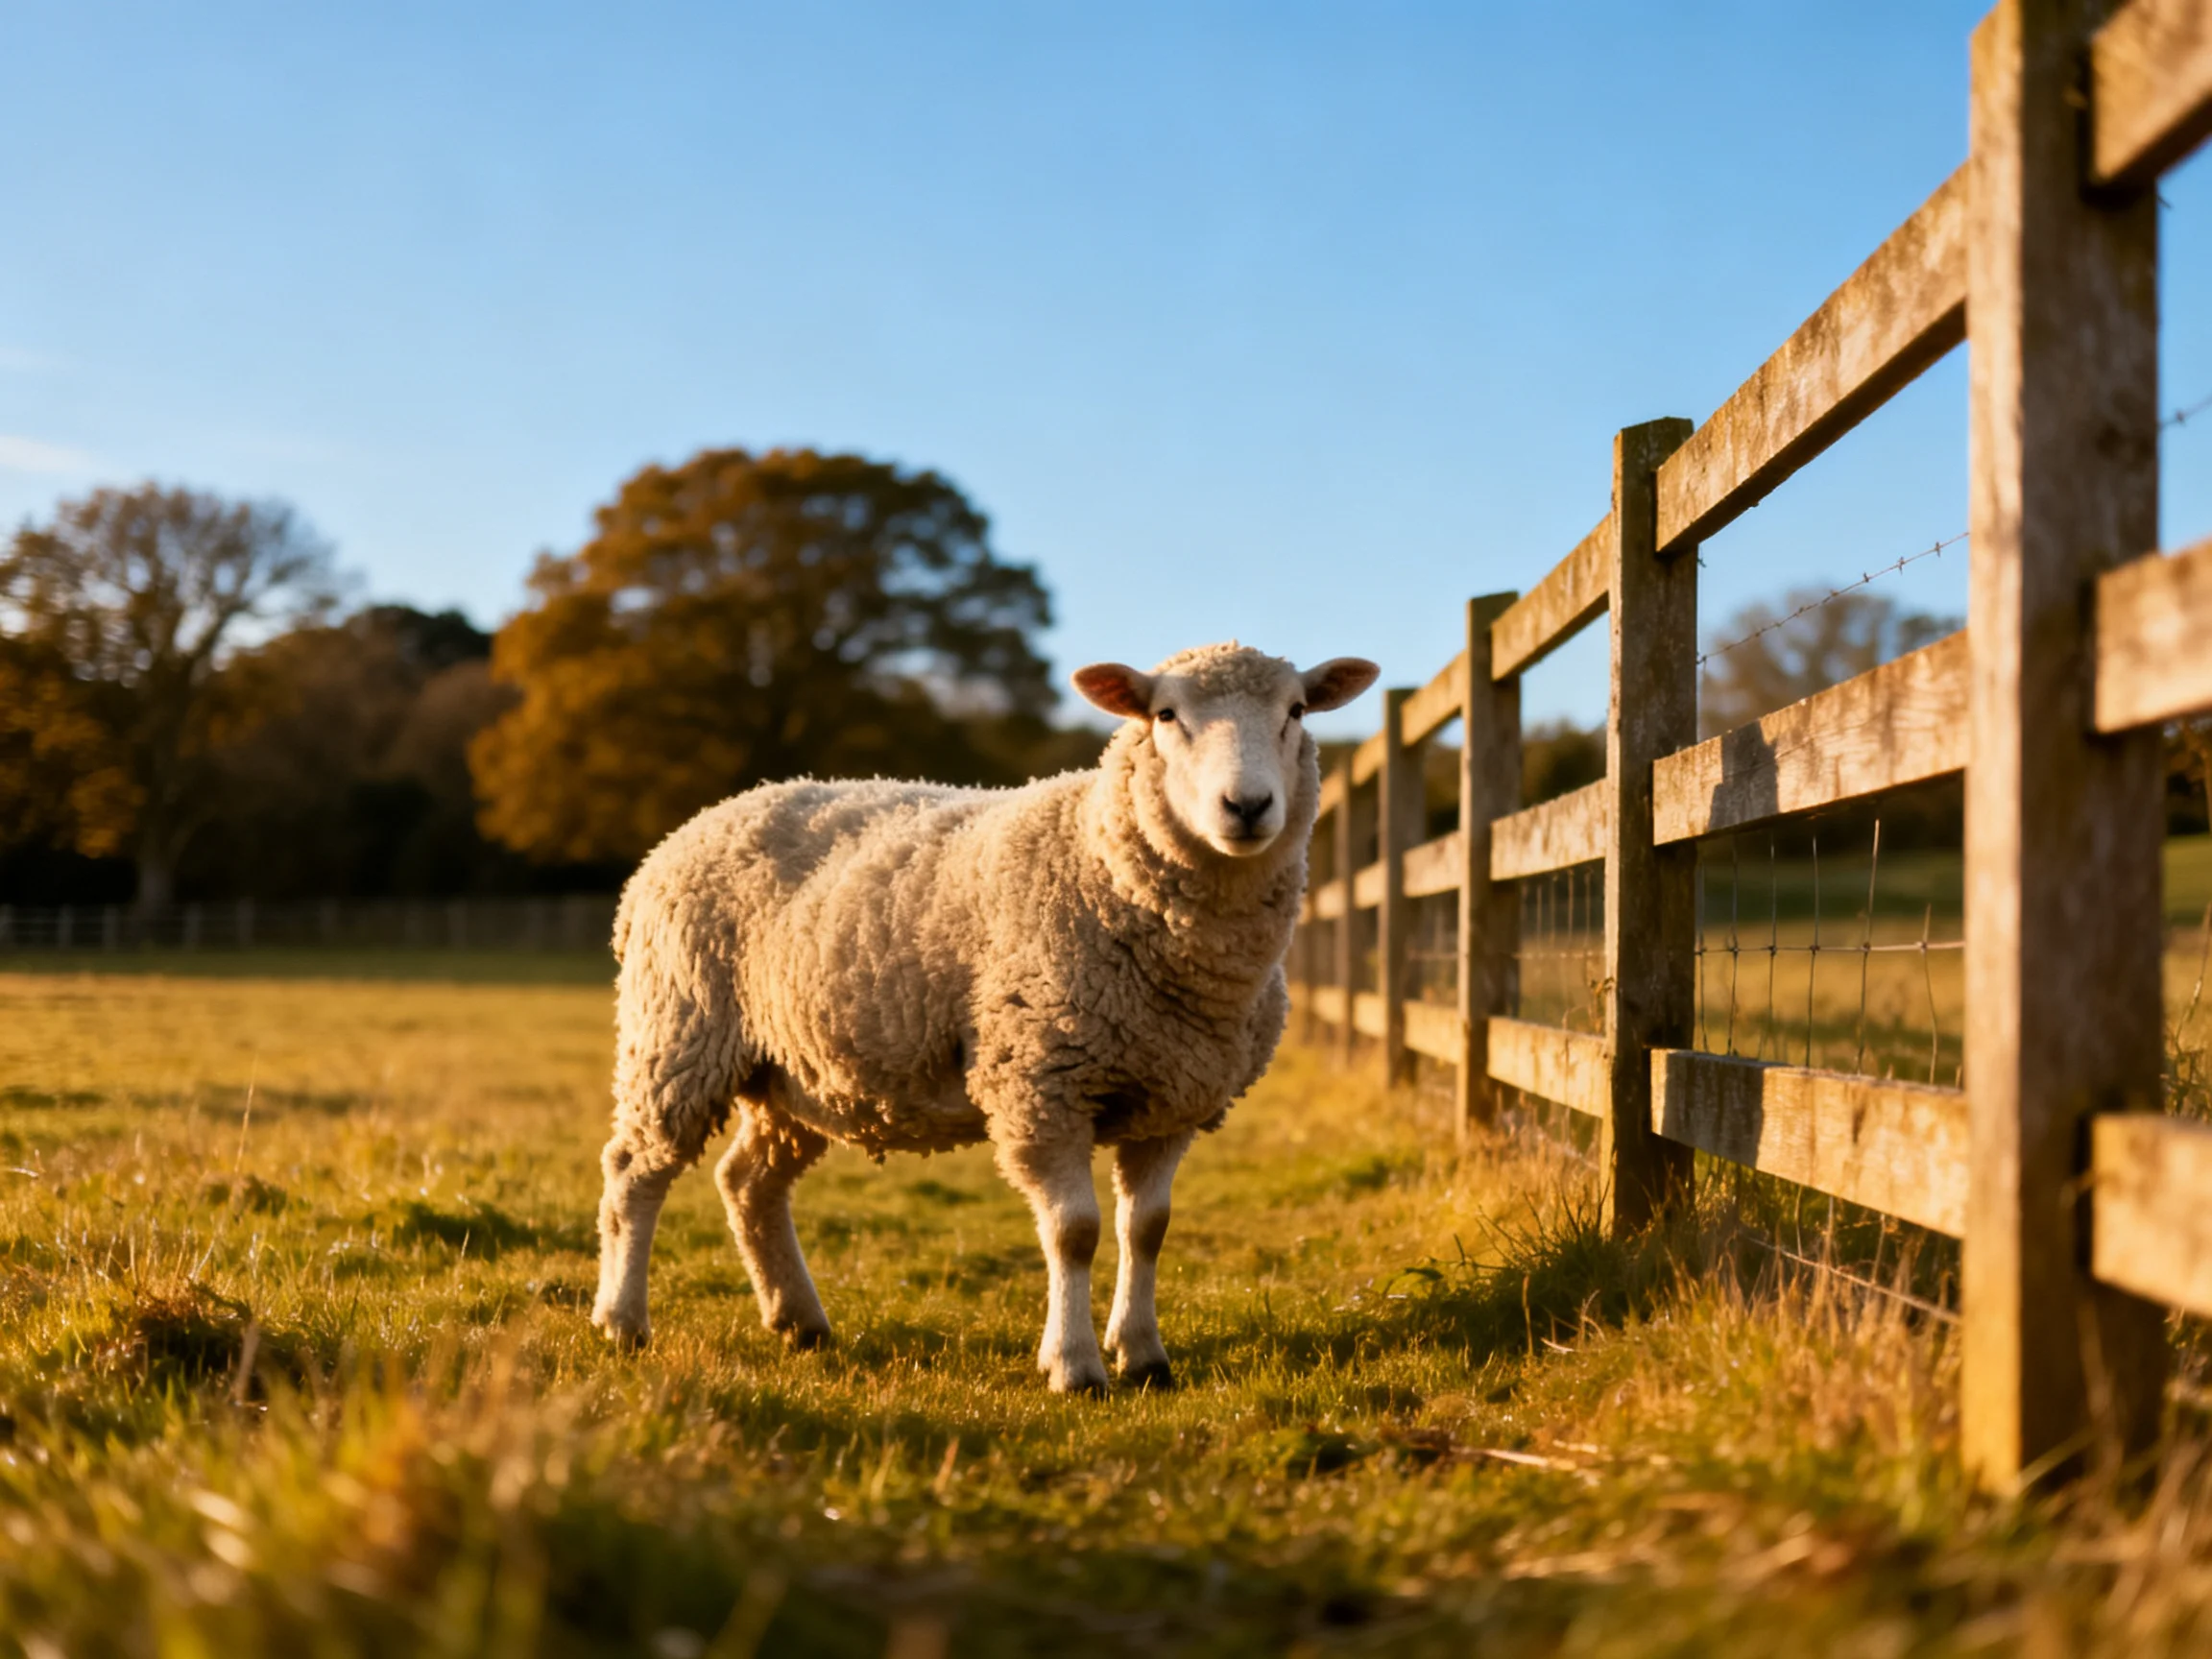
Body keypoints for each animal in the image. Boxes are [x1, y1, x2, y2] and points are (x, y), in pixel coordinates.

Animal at [589, 642, 1379, 1391]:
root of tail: (704, 820)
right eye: (1165, 715)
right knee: (635, 1172)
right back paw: (623, 1322)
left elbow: (1147, 1229)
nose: (1246, 806)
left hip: (794, 1072)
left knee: (748, 1183)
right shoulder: (1041, 1084)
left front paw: (1144, 1356)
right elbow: (1075, 1232)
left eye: (1297, 711)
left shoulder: (1172, 1098)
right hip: (677, 1031)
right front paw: (1075, 1366)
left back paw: (799, 1321)